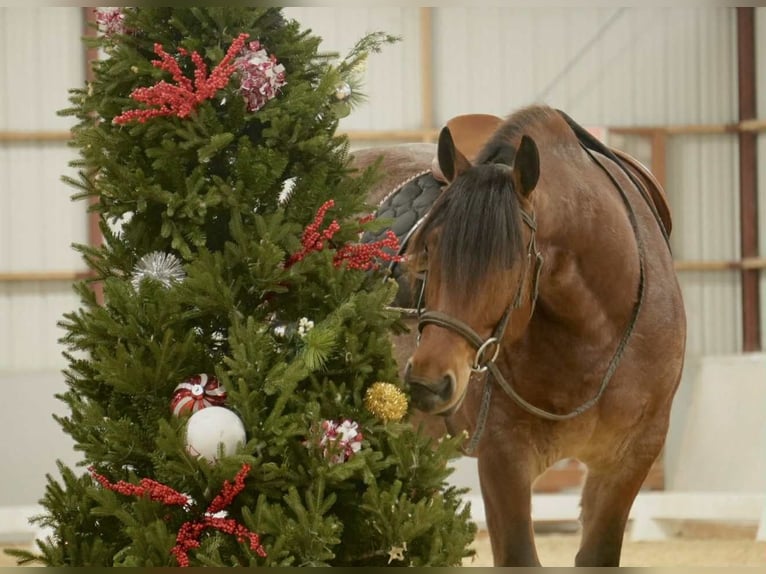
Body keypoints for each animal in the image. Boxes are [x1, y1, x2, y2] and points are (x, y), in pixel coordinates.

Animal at [352, 104, 686, 567]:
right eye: (427, 250)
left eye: (509, 261)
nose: (427, 382)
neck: (593, 336)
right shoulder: (503, 458)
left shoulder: (630, 458)